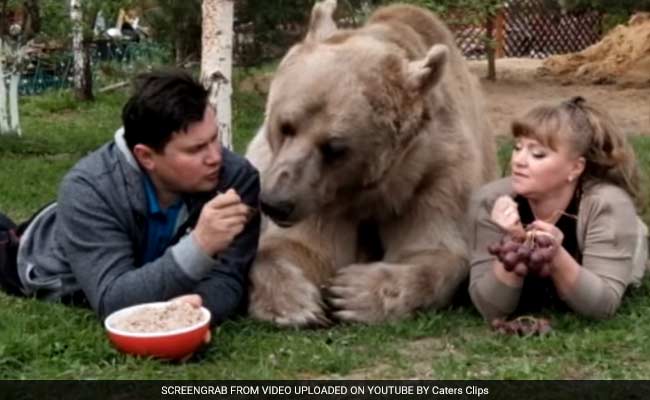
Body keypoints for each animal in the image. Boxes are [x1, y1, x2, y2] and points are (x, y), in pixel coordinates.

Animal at [245, 0, 496, 327]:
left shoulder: (437, 173)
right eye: (285, 126)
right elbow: (301, 247)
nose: (277, 203)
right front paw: (296, 303)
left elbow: (432, 248)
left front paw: (352, 293)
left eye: (334, 147)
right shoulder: (322, 198)